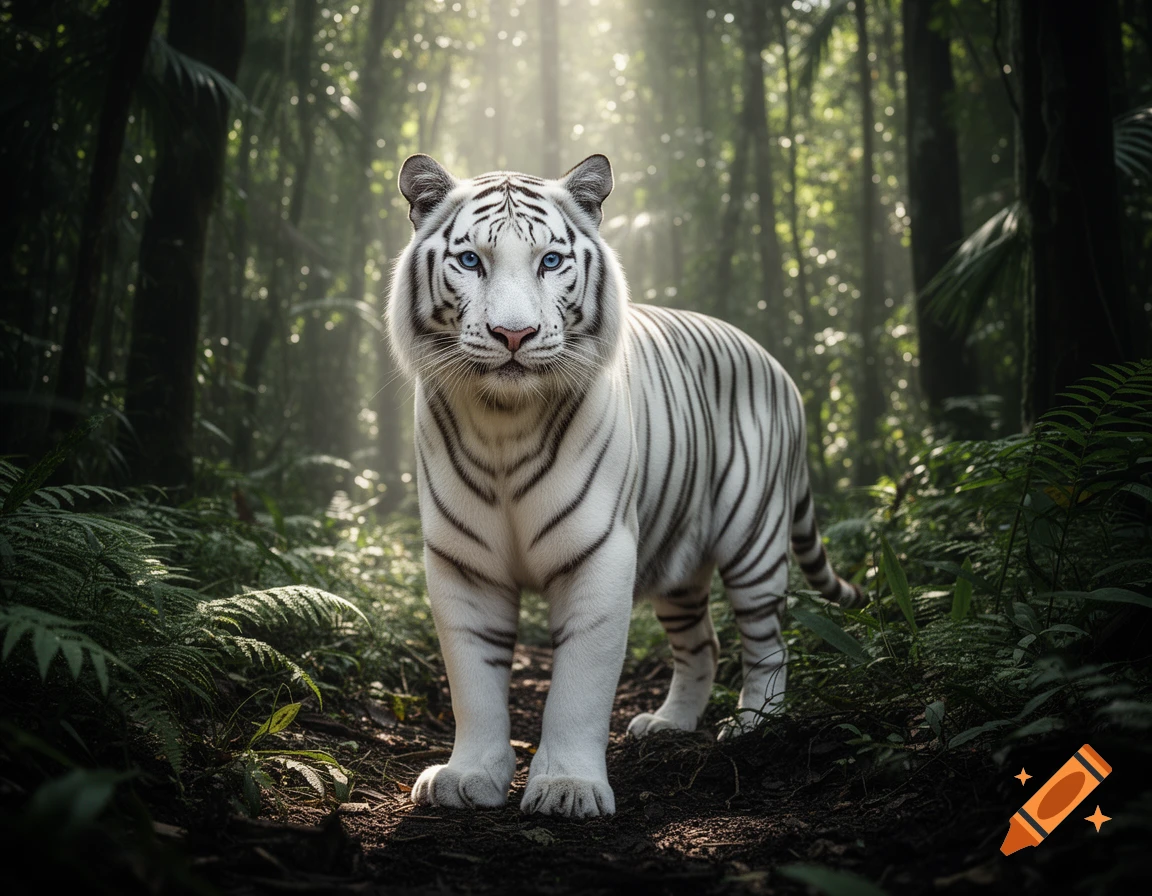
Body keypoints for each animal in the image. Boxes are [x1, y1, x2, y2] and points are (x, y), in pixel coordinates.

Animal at [386, 152, 863, 819]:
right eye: (471, 261)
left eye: (550, 261)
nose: (514, 334)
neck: (504, 422)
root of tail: (775, 364)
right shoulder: (463, 563)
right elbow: (473, 680)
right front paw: (468, 776)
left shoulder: (600, 553)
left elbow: (578, 687)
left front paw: (567, 787)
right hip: (680, 565)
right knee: (702, 644)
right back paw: (668, 725)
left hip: (754, 545)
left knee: (768, 641)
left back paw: (753, 726)